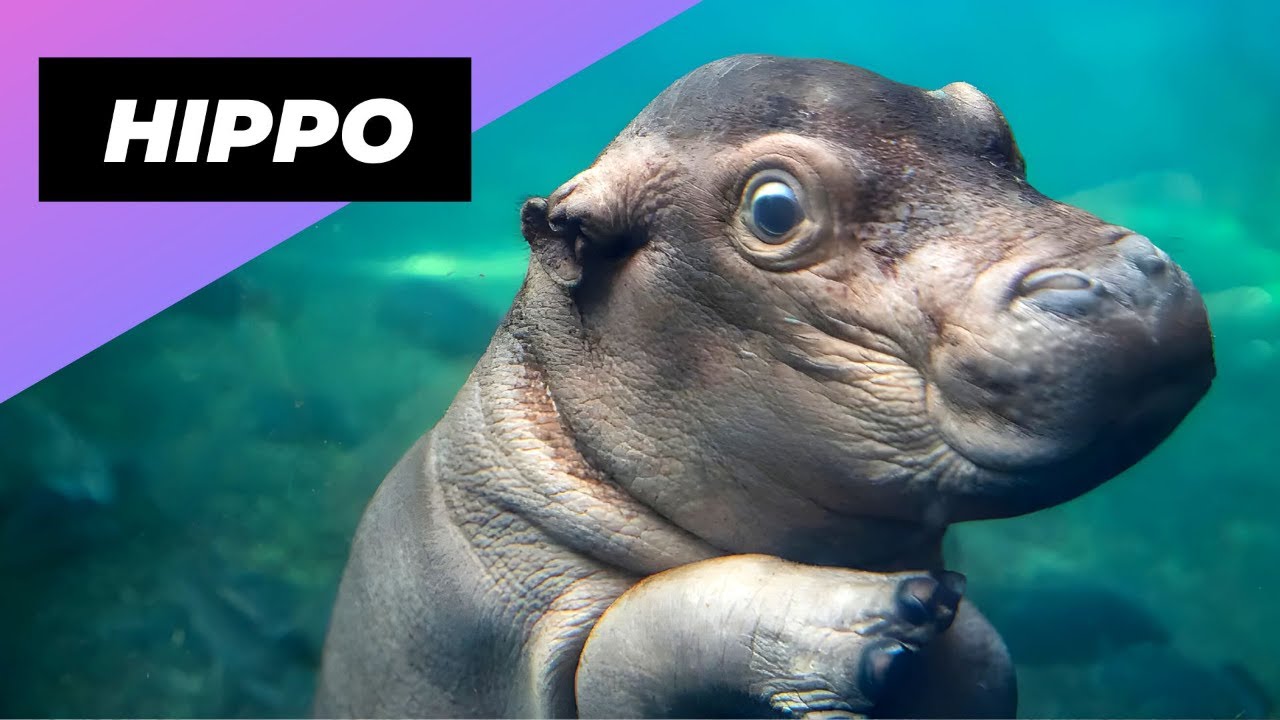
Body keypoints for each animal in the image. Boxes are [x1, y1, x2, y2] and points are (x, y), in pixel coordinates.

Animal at [314, 55, 1215, 718]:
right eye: (775, 209)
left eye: (994, 126)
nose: (1124, 284)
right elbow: (628, 641)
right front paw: (889, 624)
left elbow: (988, 661)